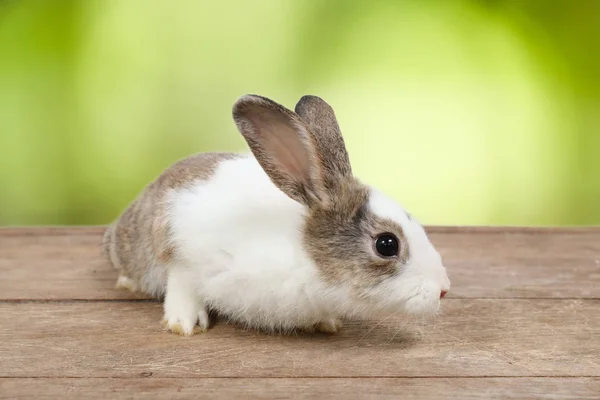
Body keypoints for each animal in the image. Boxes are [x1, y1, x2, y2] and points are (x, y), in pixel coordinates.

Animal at [103, 94, 450, 334]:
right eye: (387, 244)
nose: (443, 290)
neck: (303, 255)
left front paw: (327, 323)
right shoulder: (182, 252)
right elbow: (180, 285)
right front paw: (184, 324)